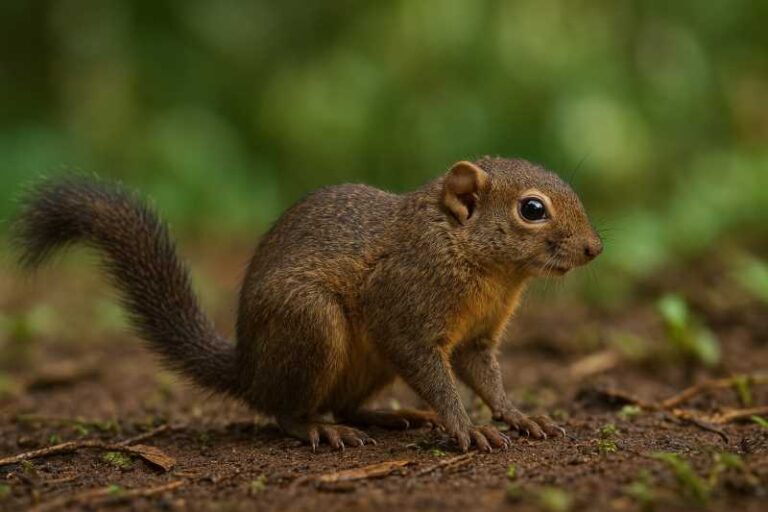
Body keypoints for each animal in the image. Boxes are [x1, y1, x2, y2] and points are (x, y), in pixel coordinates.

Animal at [13, 157, 602, 452]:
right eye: (532, 210)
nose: (595, 248)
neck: (489, 269)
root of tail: (248, 369)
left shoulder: (478, 337)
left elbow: (484, 376)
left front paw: (520, 417)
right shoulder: (407, 304)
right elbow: (434, 371)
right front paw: (464, 426)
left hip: (366, 363)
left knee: (343, 402)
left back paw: (389, 416)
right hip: (312, 323)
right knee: (285, 411)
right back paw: (318, 428)